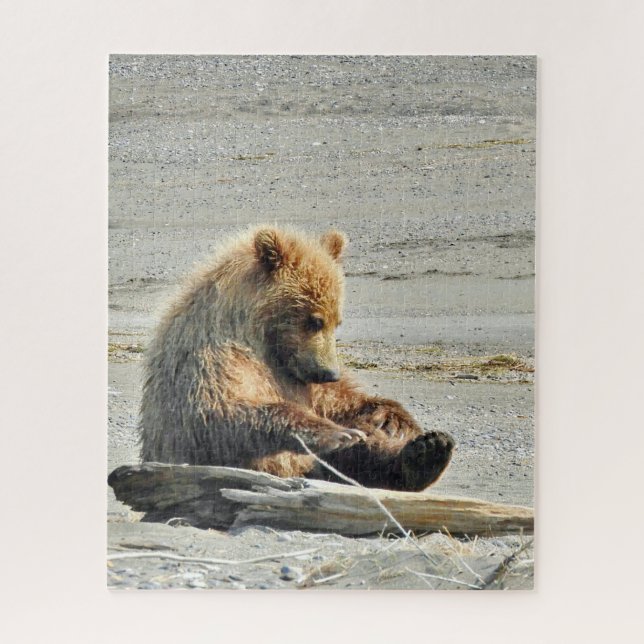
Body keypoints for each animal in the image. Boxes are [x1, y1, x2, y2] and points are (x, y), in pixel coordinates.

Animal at [139, 226, 454, 491]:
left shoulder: (300, 374)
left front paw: (392, 417)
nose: (329, 373)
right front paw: (337, 434)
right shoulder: (213, 355)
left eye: (336, 321)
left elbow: (338, 402)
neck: (263, 339)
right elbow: (219, 410)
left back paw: (429, 450)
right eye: (315, 320)